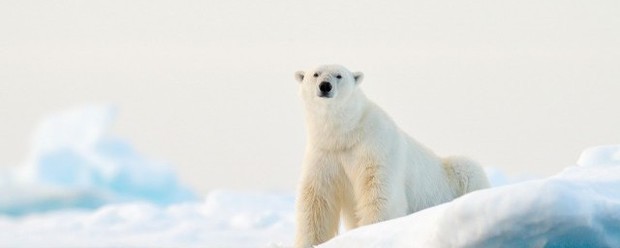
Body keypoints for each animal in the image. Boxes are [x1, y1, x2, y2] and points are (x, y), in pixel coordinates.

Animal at [294, 65, 492, 247]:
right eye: (315, 74)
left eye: (339, 75)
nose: (325, 86)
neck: (346, 134)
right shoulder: (325, 154)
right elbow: (317, 200)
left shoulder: (375, 146)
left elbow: (379, 191)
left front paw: (373, 232)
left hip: (455, 175)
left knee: (468, 169)